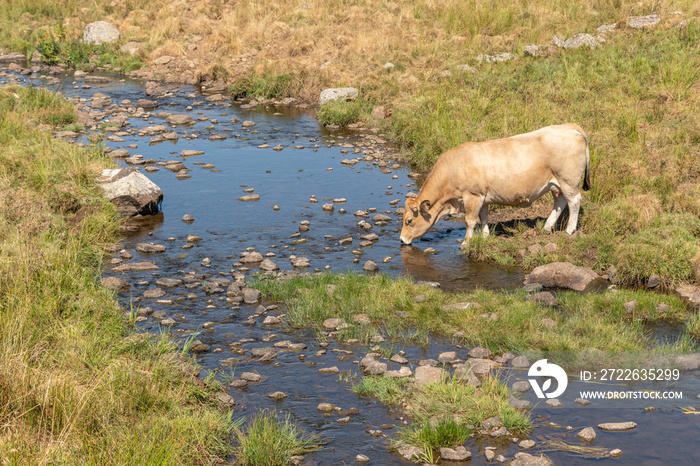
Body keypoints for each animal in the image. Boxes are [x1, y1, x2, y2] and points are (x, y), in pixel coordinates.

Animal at [400, 124, 592, 248]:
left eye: (409, 220)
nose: (401, 240)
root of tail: (569, 127)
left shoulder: (472, 196)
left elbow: (470, 220)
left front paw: (465, 243)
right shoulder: (483, 198)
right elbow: (484, 217)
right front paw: (485, 236)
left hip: (568, 181)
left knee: (574, 201)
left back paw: (569, 230)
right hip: (556, 184)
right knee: (560, 202)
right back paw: (546, 227)